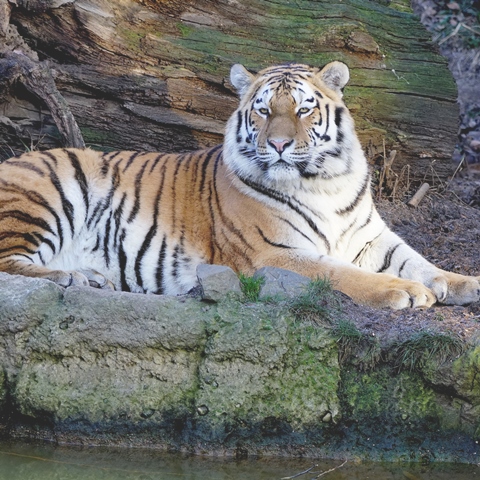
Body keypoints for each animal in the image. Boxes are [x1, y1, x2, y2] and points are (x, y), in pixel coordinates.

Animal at [0, 62, 478, 310]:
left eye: (304, 109)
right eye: (264, 111)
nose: (280, 144)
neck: (323, 182)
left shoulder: (370, 235)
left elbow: (419, 260)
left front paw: (464, 283)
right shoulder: (273, 253)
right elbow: (343, 273)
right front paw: (404, 292)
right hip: (46, 193)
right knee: (9, 263)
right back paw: (76, 276)